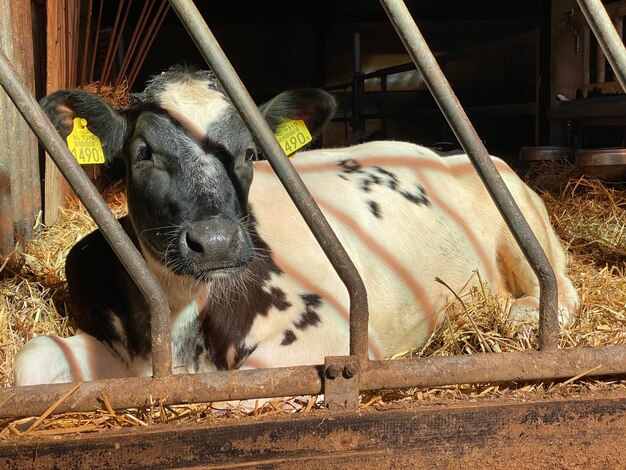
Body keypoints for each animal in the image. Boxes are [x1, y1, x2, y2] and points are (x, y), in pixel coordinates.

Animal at [15, 66, 580, 386]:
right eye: (143, 152)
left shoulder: (328, 333)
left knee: (560, 292)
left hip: (524, 223)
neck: (179, 329)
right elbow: (32, 360)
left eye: (249, 153)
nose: (216, 243)